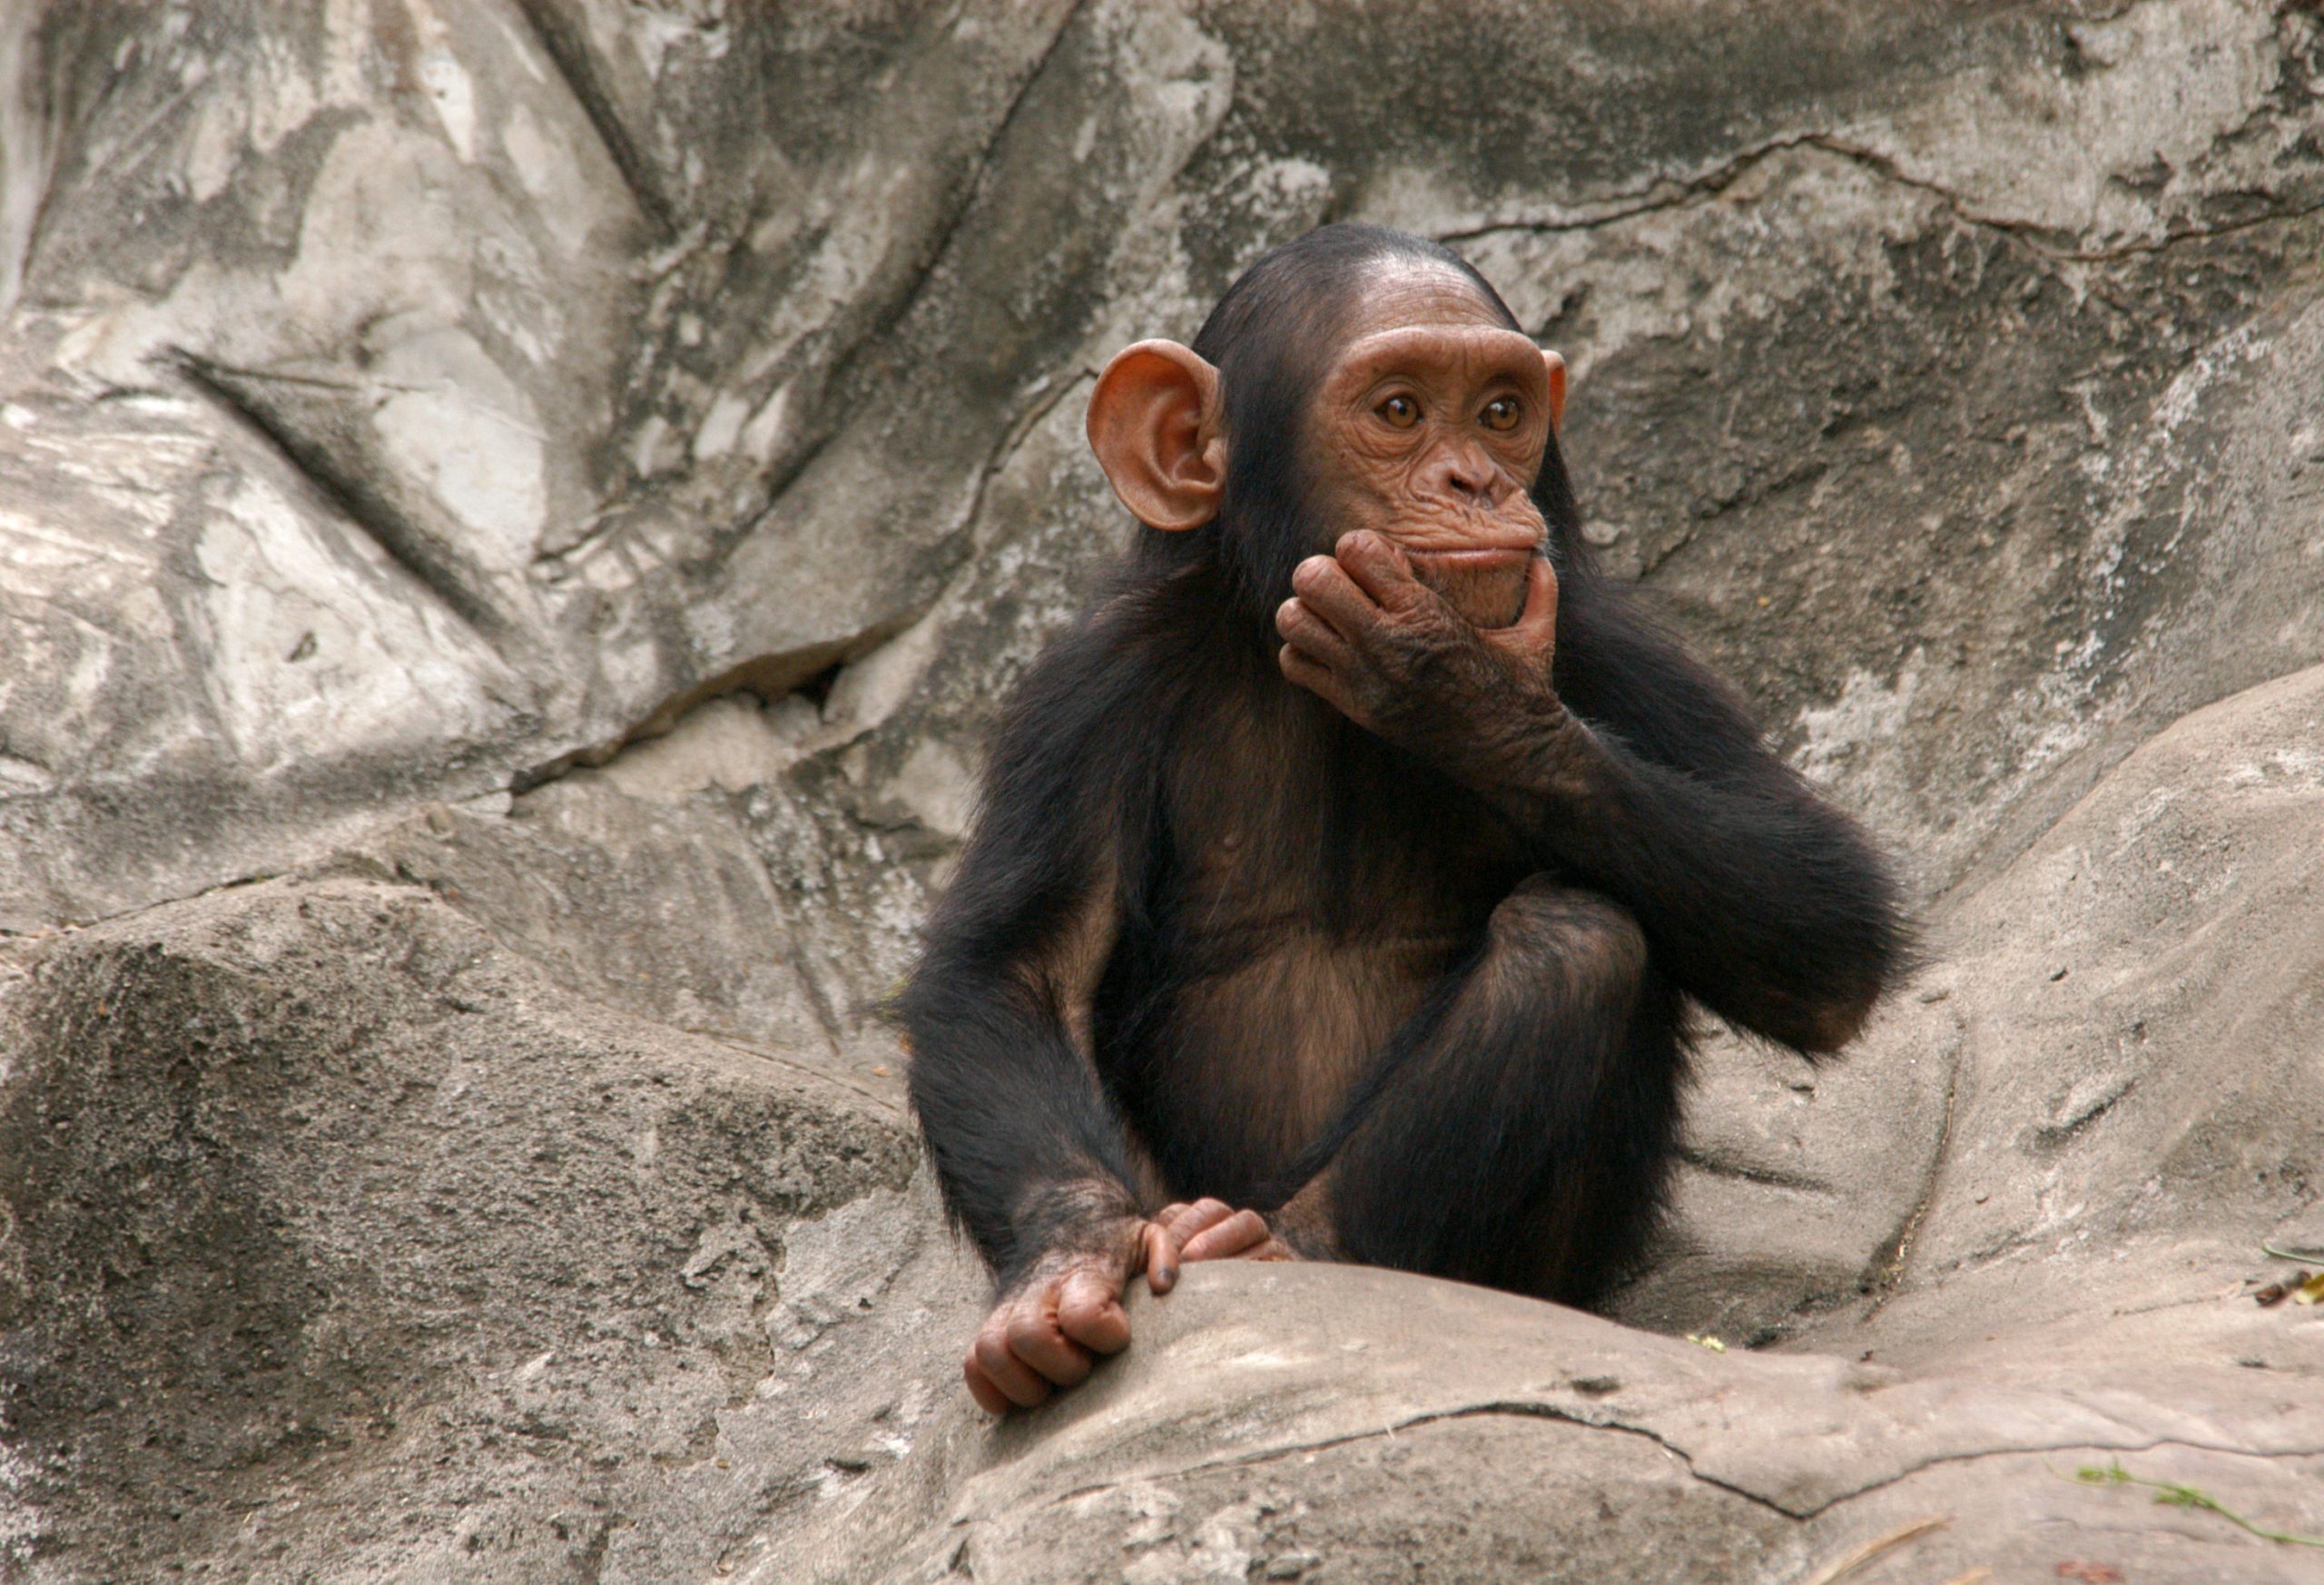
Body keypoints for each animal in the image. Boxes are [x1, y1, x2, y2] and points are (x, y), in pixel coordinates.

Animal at [900, 223, 1907, 1414]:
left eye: (1501, 412)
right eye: (1398, 410)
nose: (1474, 478)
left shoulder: (1613, 645)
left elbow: (1827, 920)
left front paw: (1452, 681)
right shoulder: (1087, 689)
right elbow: (1017, 971)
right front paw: (1063, 1267)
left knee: (1577, 937)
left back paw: (1294, 1242)